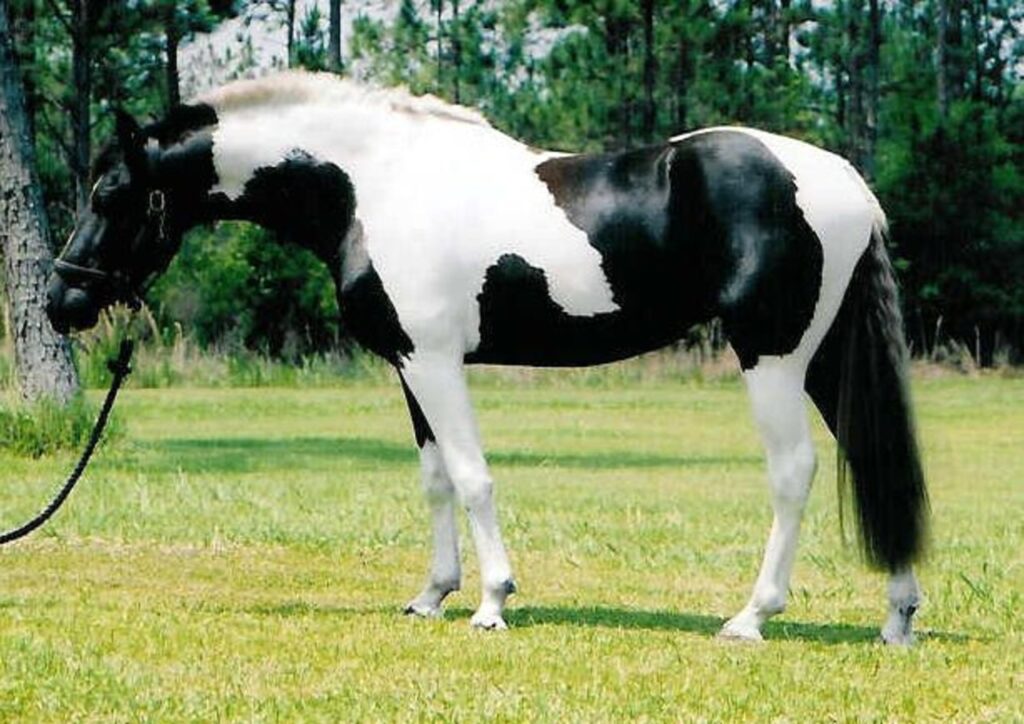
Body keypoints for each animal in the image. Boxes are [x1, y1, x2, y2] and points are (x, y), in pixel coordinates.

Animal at [46, 71, 928, 644]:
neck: (372, 184)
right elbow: (436, 479)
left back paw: (751, 616)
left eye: (108, 195)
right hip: (822, 357)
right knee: (869, 455)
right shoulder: (409, 364)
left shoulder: (436, 362)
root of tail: (843, 179)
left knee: (794, 471)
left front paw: (491, 603)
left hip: (772, 358)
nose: (63, 301)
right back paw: (897, 616)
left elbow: (473, 477)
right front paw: (431, 596)